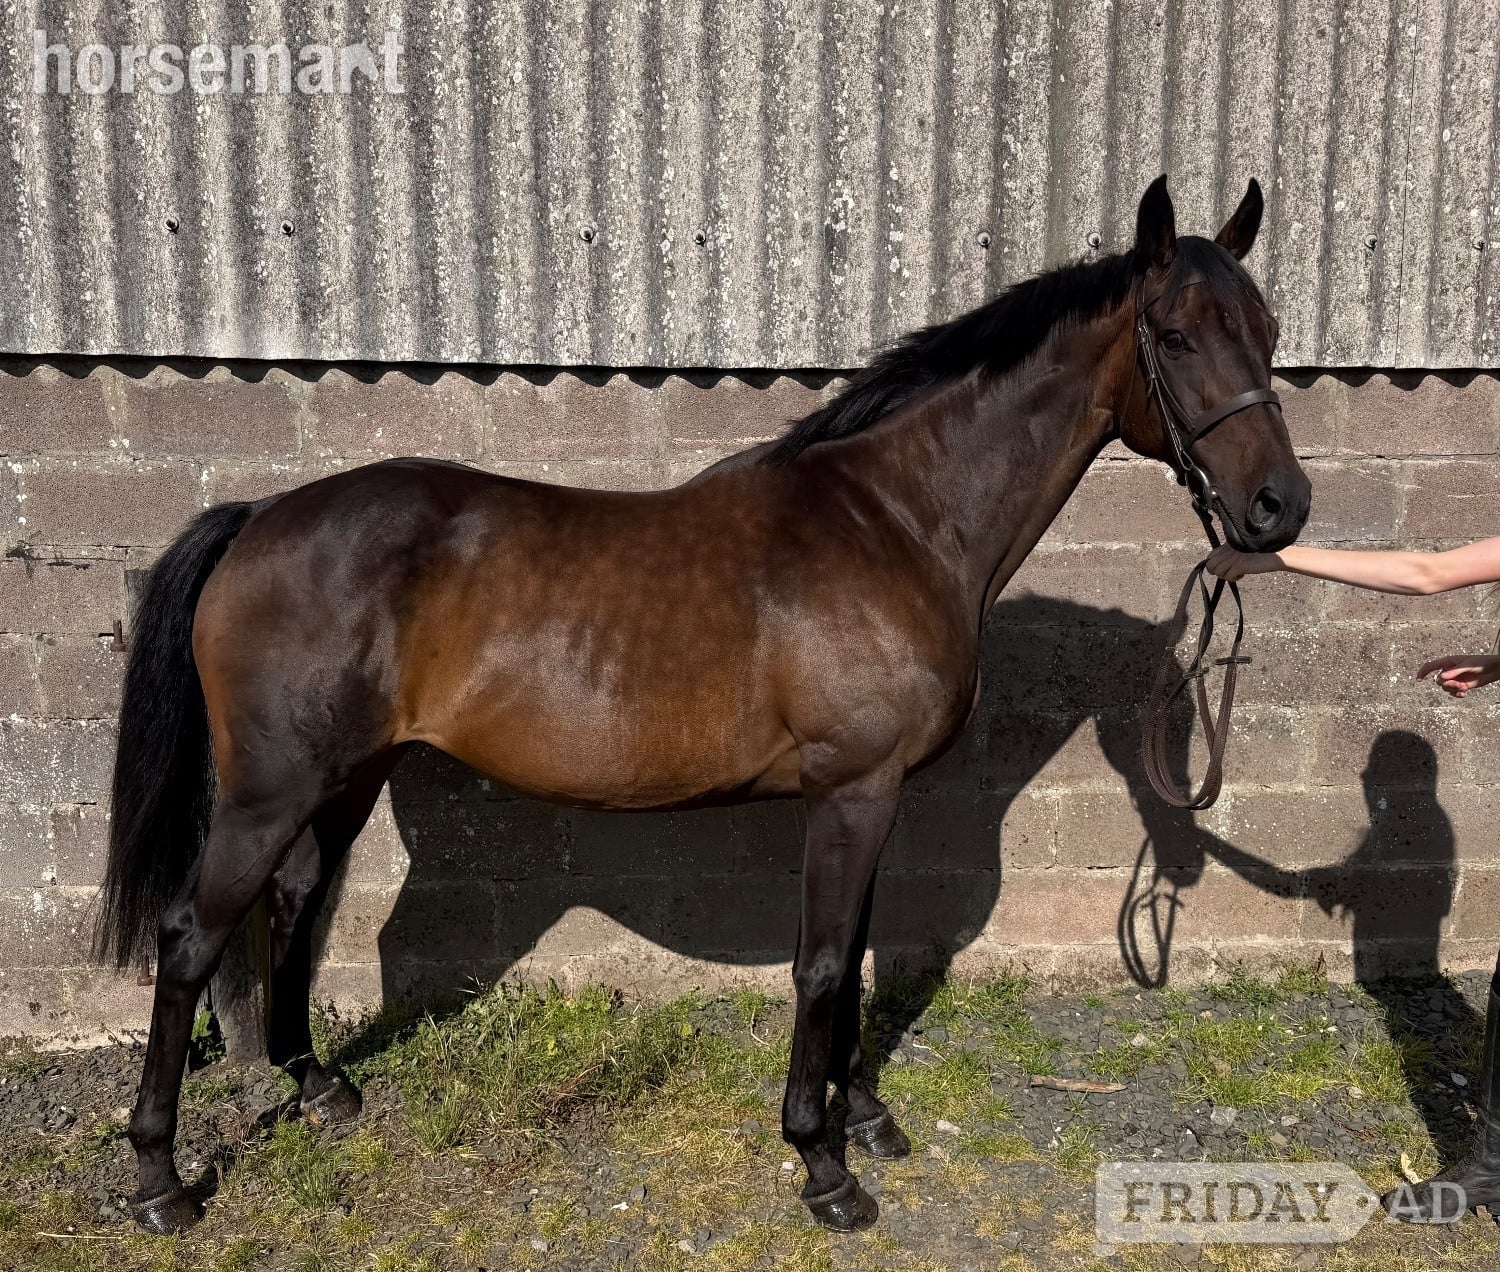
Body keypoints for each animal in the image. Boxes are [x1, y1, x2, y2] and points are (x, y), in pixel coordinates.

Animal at [97, 175, 1309, 1234]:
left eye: (1268, 326)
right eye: (1177, 335)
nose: (1279, 508)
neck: (898, 522)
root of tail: (257, 520)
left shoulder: (869, 795)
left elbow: (854, 953)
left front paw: (867, 1118)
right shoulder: (852, 790)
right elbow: (822, 962)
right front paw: (822, 1164)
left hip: (347, 777)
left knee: (297, 902)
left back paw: (318, 1090)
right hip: (268, 794)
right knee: (192, 938)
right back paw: (159, 1180)